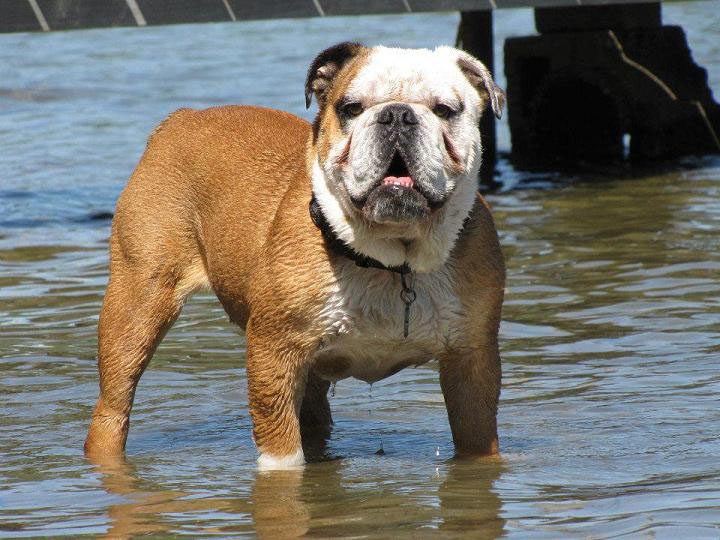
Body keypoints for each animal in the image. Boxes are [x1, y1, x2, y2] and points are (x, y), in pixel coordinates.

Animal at [86, 43, 506, 468]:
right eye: (351, 107)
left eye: (445, 110)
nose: (398, 114)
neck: (390, 260)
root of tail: (181, 119)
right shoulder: (274, 354)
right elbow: (283, 456)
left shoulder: (472, 365)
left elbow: (478, 443)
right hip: (138, 306)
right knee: (114, 404)